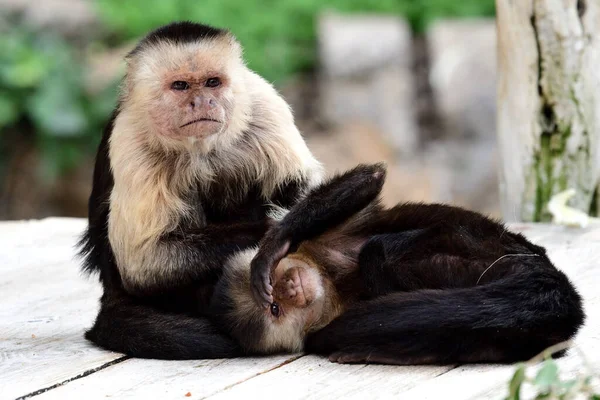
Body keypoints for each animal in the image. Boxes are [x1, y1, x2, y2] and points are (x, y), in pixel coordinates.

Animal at [78, 21, 328, 360]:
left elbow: (300, 184)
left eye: (212, 82)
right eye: (181, 86)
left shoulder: (263, 102)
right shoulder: (130, 137)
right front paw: (272, 231)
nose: (202, 102)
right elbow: (144, 262)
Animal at [209, 163, 584, 366]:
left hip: (483, 245)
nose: (289, 288)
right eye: (275, 309)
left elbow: (368, 179)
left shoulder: (320, 243)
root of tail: (536, 266)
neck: (331, 283)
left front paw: (273, 245)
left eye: (276, 289)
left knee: (379, 251)